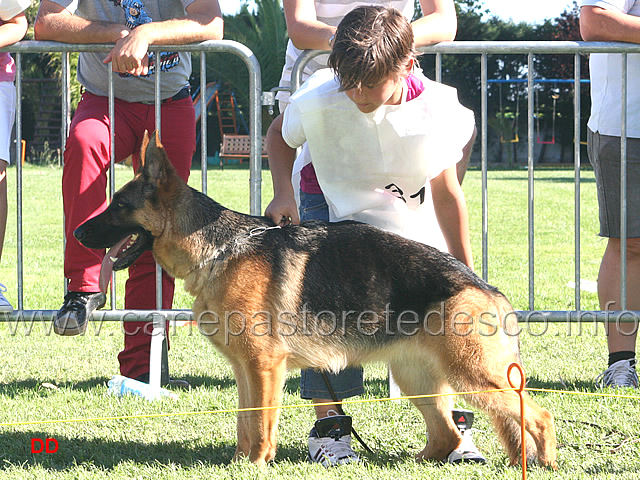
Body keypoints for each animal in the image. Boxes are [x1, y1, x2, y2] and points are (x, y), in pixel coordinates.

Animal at [74, 132, 556, 468]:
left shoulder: (264, 367)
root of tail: (488, 289)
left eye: (119, 206)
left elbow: (261, 422)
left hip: (472, 374)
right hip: (418, 378)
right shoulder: (246, 369)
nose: (77, 233)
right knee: (447, 436)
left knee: (536, 415)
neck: (219, 247)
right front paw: (239, 462)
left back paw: (544, 462)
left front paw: (256, 464)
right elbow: (244, 421)